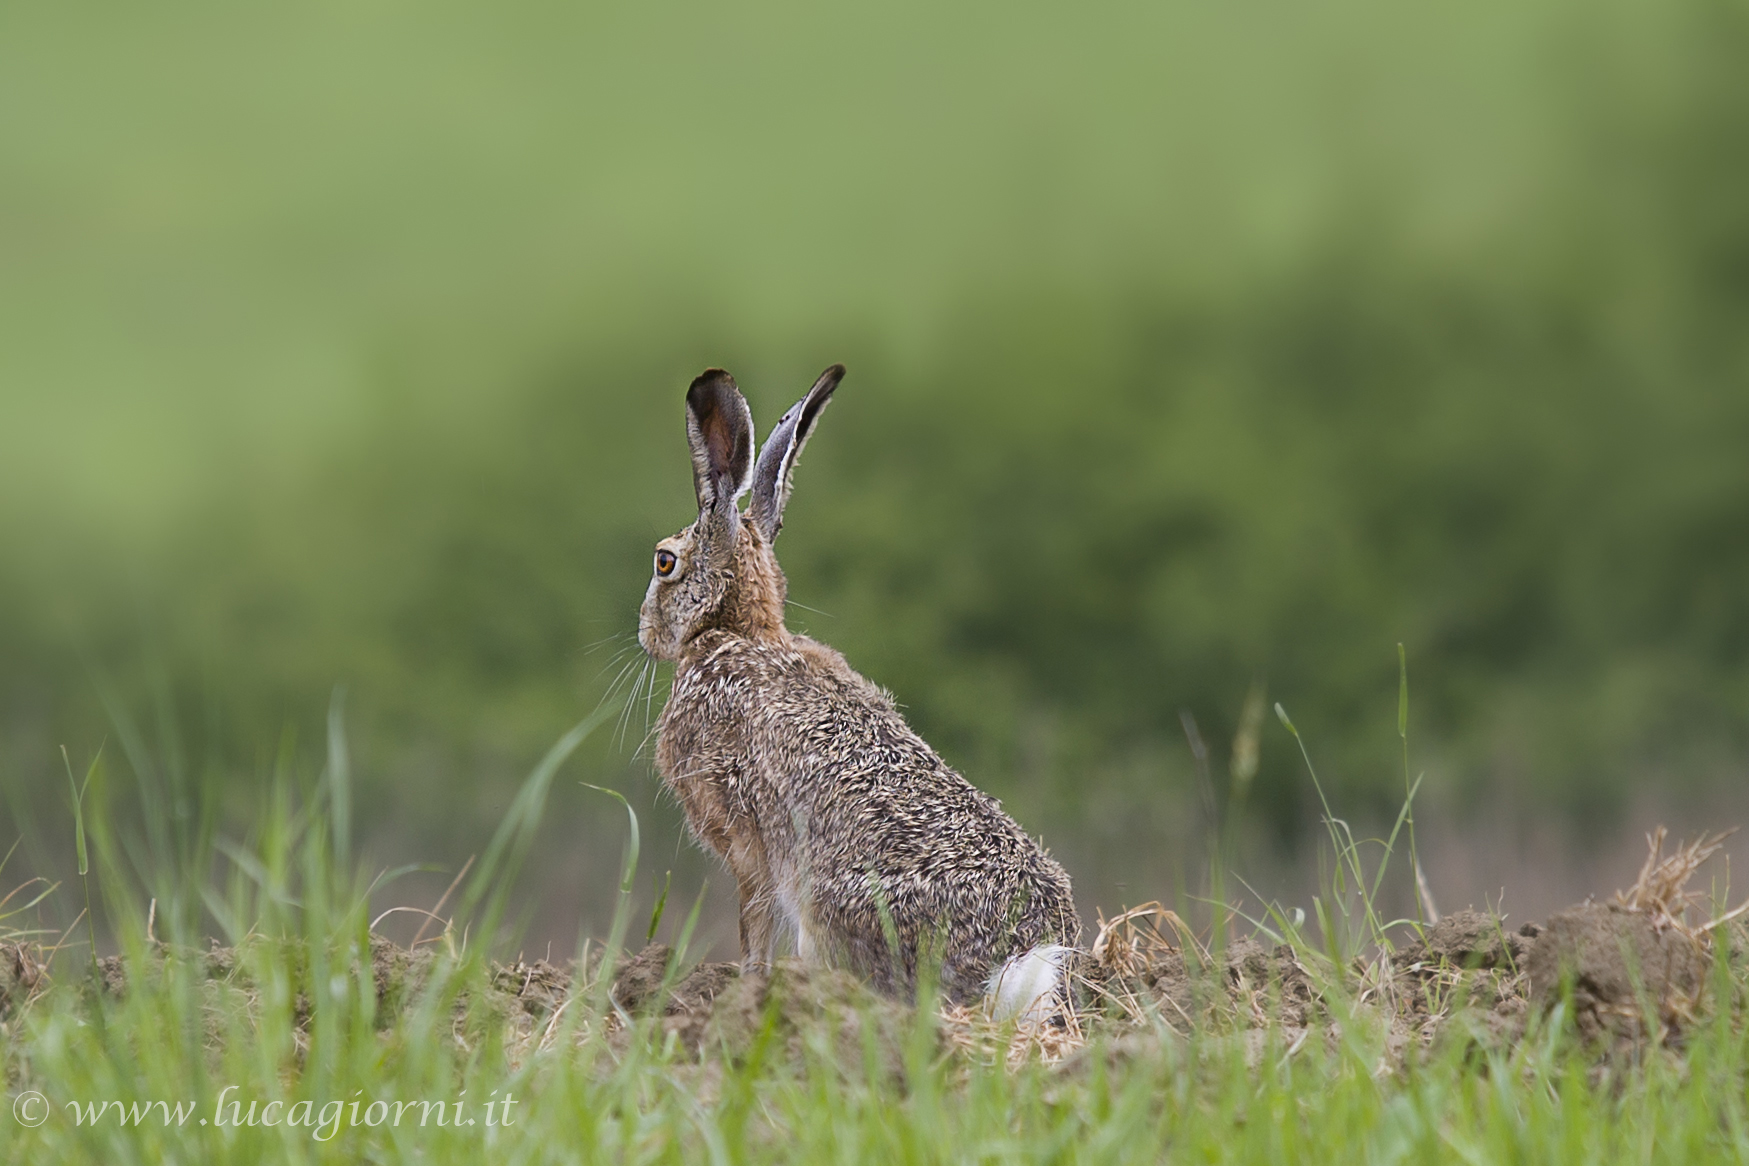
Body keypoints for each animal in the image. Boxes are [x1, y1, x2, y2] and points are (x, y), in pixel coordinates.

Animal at [638, 364, 1081, 1010]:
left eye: (664, 562)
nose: (646, 633)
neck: (738, 631)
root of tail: (1011, 967)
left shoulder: (749, 846)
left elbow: (753, 924)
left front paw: (745, 989)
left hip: (828, 907)